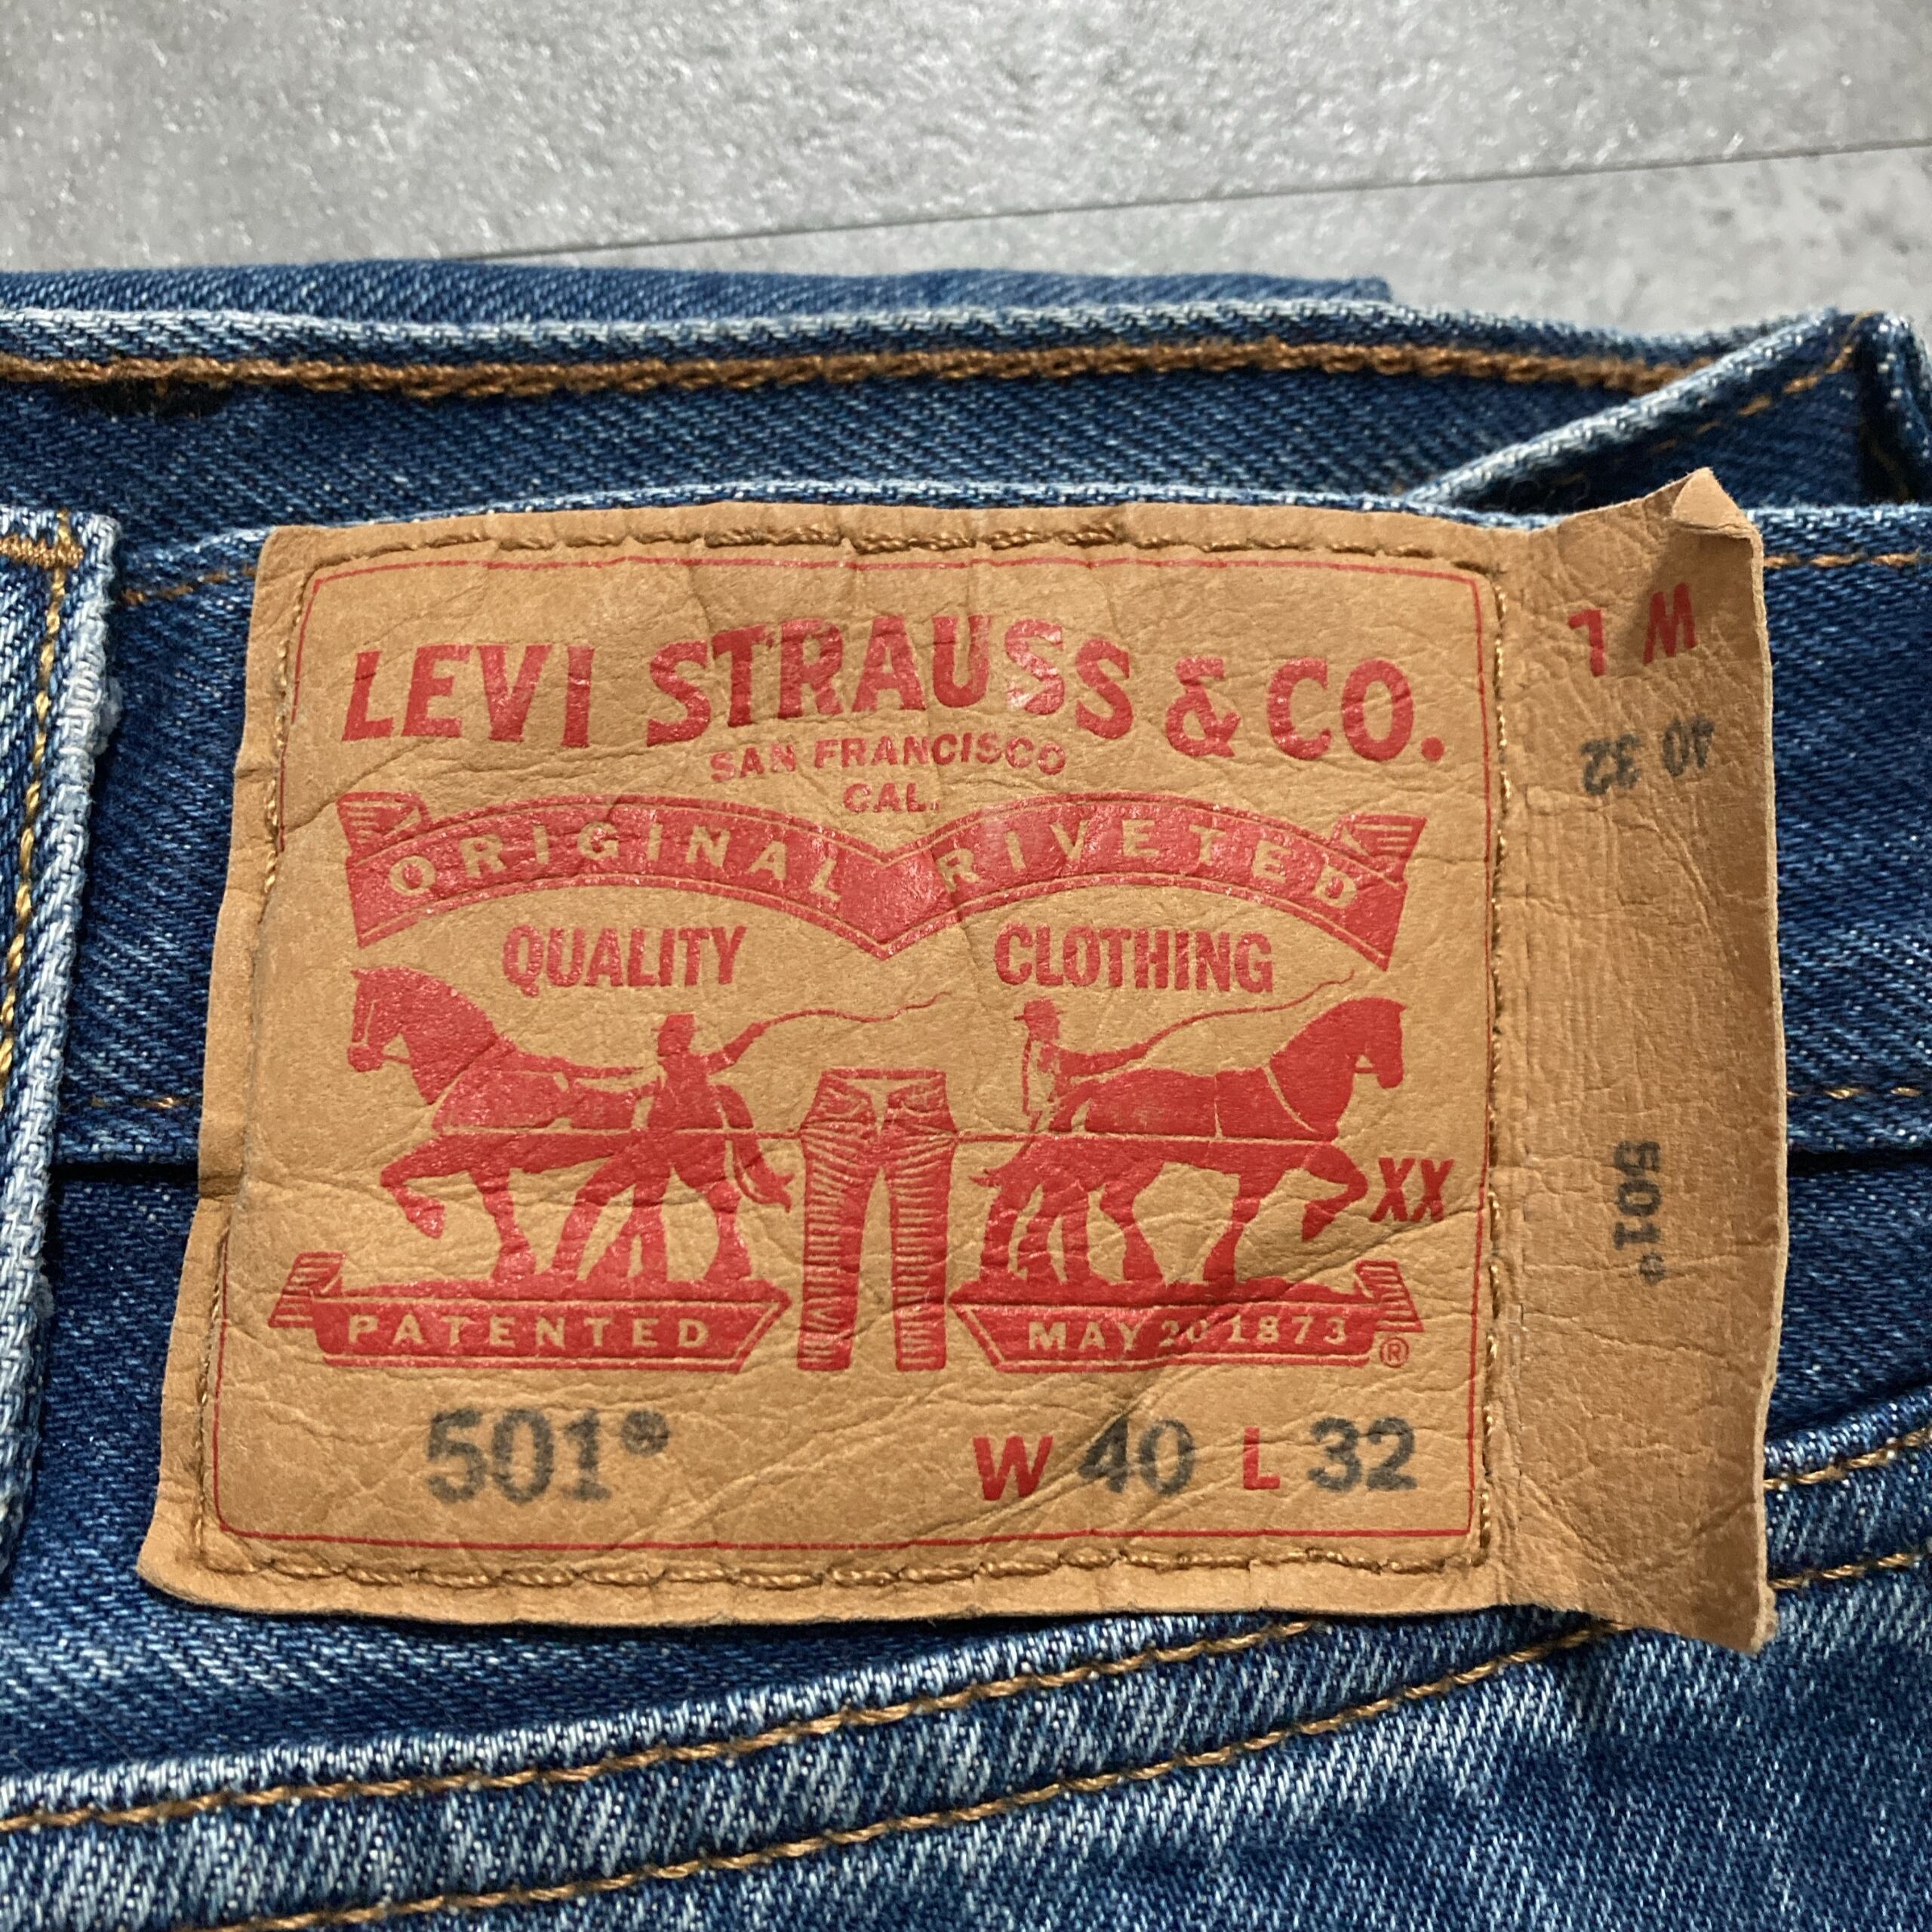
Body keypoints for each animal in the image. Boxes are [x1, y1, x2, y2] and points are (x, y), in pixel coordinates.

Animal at [348, 967, 652, 1284]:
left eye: (374, 1006)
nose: (357, 1058)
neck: (480, 1072)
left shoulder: (463, 1151)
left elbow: (394, 1173)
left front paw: (432, 1219)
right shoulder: (486, 1164)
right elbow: (498, 1205)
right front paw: (515, 1262)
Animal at [976, 997, 1405, 1291]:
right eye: (1388, 1033)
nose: (1395, 1078)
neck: (1291, 1091)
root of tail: (1100, 1087)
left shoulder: (1306, 1157)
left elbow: (1356, 1182)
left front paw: (1311, 1222)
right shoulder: (1263, 1171)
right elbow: (1245, 1212)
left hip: (1145, 1163)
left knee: (1099, 1199)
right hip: (1113, 1158)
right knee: (1062, 1193)